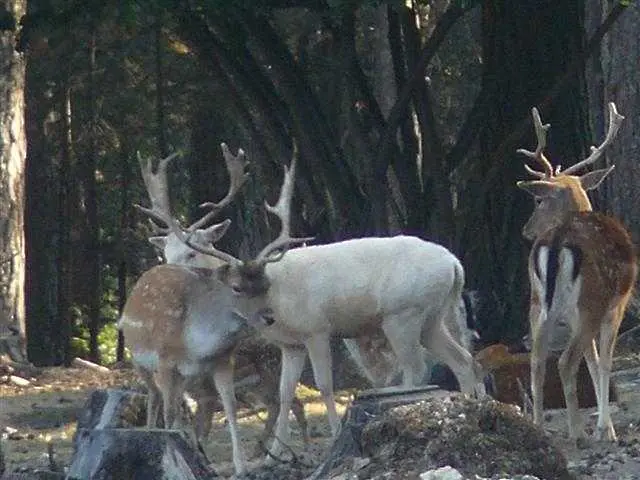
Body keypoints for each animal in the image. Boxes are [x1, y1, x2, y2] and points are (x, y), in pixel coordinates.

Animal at [121, 143, 312, 472]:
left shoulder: (222, 364)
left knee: (284, 402)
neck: (196, 343)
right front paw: (176, 459)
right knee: (155, 400)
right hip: (139, 361)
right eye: (236, 287)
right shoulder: (167, 365)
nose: (269, 317)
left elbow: (229, 410)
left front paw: (239, 467)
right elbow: (174, 417)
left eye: (266, 285)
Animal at [516, 102, 636, 442]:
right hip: (590, 302)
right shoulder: (616, 305)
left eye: (539, 200)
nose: (526, 230)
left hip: (538, 305)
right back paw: (575, 431)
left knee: (537, 362)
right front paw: (606, 429)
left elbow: (593, 362)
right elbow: (605, 363)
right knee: (566, 362)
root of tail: (558, 238)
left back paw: (539, 428)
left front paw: (605, 425)